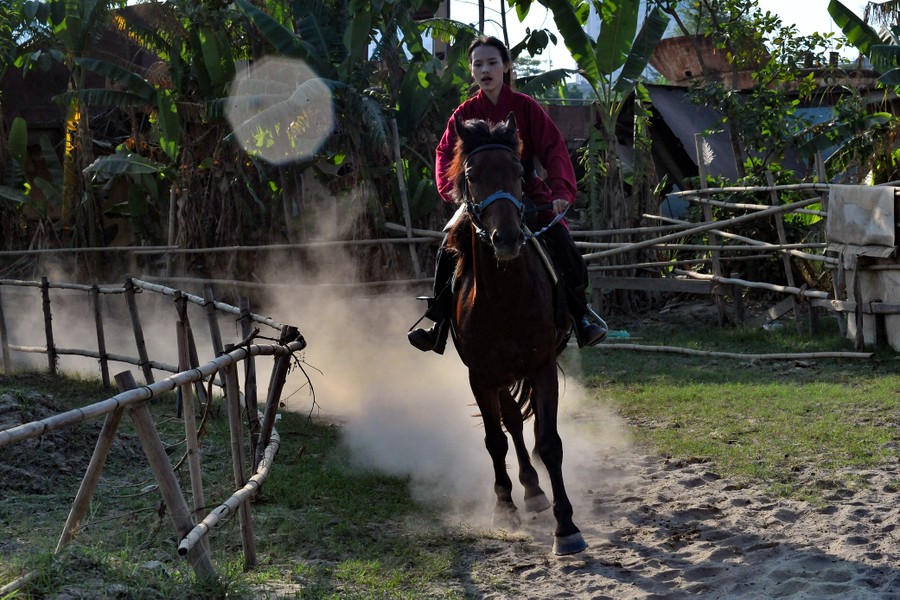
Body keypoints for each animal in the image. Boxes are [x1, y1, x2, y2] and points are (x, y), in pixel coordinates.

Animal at [442, 111, 584, 552]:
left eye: (518, 174)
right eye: (471, 175)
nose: (505, 238)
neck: (504, 298)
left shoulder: (541, 367)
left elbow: (550, 443)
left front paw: (566, 527)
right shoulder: (481, 376)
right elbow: (495, 440)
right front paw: (504, 506)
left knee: (526, 427)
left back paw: (537, 493)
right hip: (499, 377)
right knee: (512, 426)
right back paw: (529, 490)